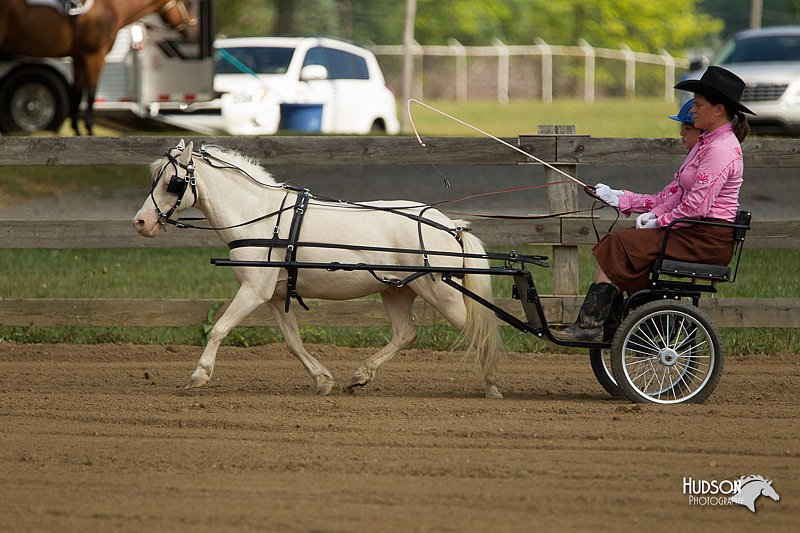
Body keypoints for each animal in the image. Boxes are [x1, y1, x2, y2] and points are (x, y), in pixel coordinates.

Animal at [134, 139, 504, 396]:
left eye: (172, 182)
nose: (141, 222)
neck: (262, 218)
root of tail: (450, 225)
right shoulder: (272, 296)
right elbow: (293, 342)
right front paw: (323, 380)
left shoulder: (252, 291)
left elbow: (219, 329)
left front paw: (199, 375)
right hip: (397, 290)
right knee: (405, 334)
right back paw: (361, 376)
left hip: (441, 292)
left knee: (478, 330)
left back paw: (493, 384)